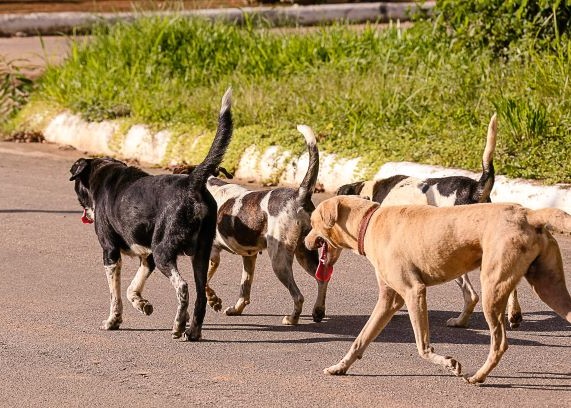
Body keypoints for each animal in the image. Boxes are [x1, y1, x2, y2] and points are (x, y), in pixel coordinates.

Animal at [68, 87, 233, 340]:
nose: (85, 212)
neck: (104, 174)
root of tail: (192, 183)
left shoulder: (110, 252)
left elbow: (115, 294)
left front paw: (113, 321)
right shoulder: (147, 257)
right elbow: (131, 288)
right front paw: (141, 303)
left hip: (163, 250)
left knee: (183, 287)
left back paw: (178, 325)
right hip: (199, 255)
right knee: (200, 295)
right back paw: (192, 330)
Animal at [203, 126, 324, 324]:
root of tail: (299, 195)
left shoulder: (212, 254)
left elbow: (204, 281)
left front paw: (214, 300)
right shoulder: (249, 256)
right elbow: (244, 287)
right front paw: (236, 309)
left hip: (279, 260)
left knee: (298, 295)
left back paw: (292, 318)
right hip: (305, 253)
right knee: (322, 278)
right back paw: (318, 311)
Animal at [306, 196, 571, 384]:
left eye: (311, 223)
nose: (305, 243)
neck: (368, 222)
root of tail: (529, 214)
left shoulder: (414, 292)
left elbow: (422, 347)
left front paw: (448, 363)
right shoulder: (389, 300)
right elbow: (361, 339)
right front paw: (340, 367)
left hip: (493, 289)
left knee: (499, 342)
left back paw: (479, 376)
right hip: (549, 287)